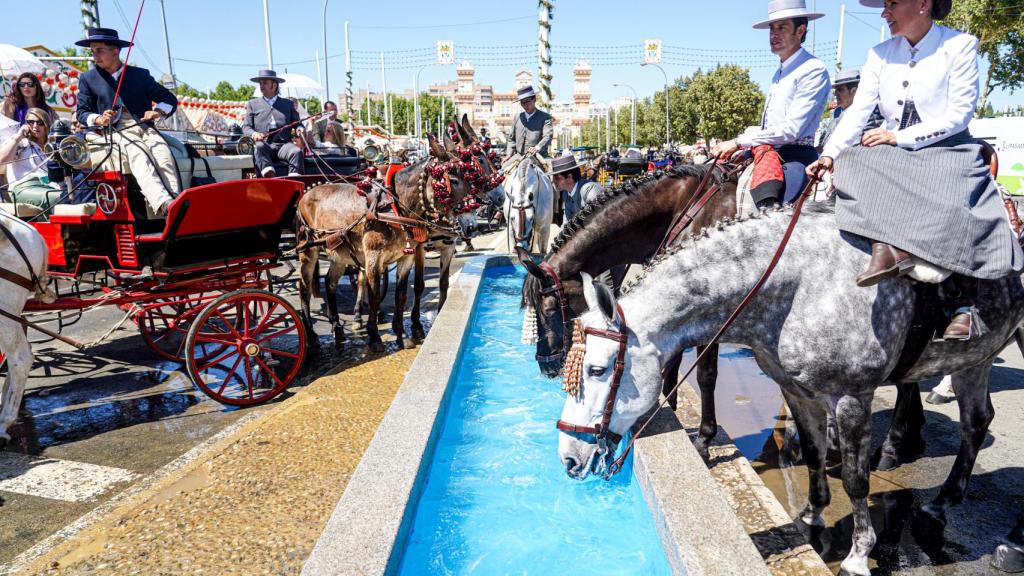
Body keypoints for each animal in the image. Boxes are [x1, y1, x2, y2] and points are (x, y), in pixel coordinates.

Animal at [561, 204, 1024, 573]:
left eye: (598, 370)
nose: (568, 457)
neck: (797, 285)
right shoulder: (798, 391)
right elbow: (815, 453)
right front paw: (813, 514)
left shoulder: (852, 398)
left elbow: (856, 479)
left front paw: (858, 553)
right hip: (974, 359)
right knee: (976, 422)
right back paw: (942, 501)